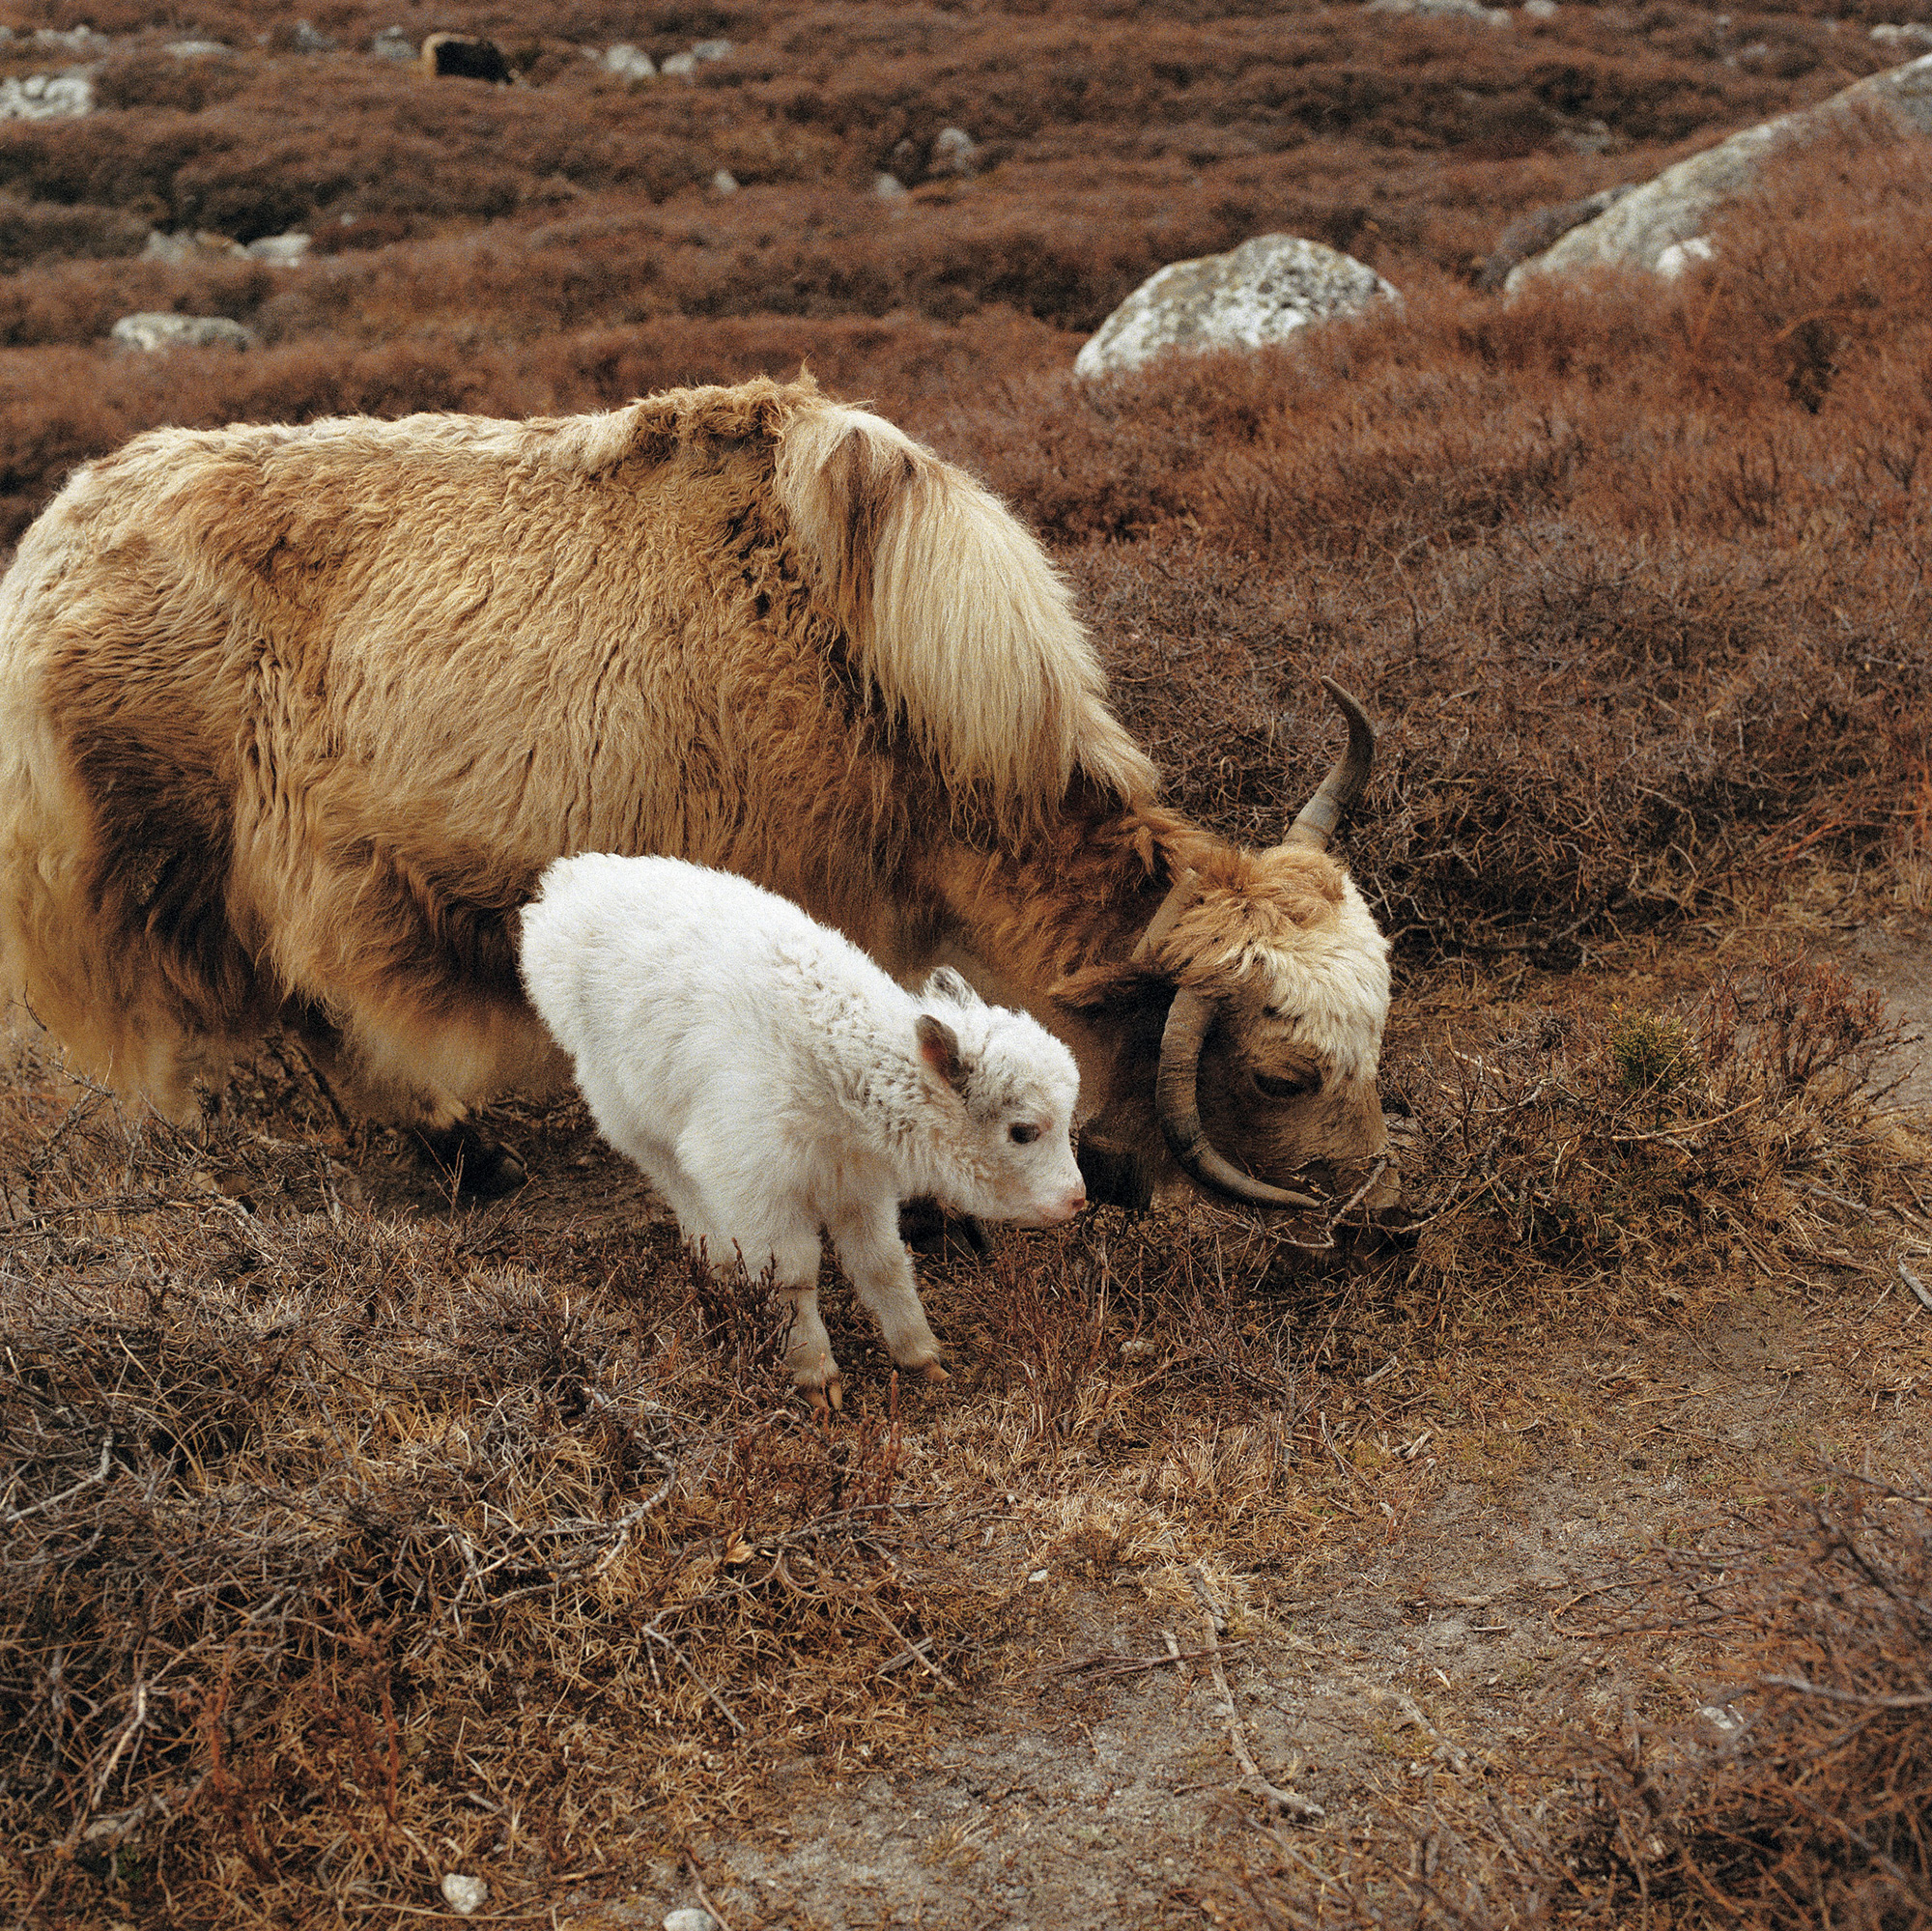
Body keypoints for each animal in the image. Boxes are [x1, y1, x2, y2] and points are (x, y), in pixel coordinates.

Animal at [0, 378, 1391, 1212]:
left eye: (1373, 1036)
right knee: (258, 1021)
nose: (1380, 1210)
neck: (873, 678)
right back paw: (449, 1157)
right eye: (1279, 1073)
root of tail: (54, 539)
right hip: (179, 863)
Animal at [518, 857, 1090, 1406]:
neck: (833, 1072)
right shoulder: (756, 1186)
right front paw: (815, 1378)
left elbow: (882, 1264)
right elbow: (792, 1280)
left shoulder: (856, 1185)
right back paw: (718, 1264)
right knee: (678, 1184)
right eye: (1022, 1132)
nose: (1078, 1199)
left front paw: (921, 1357)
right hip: (627, 1112)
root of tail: (564, 886)